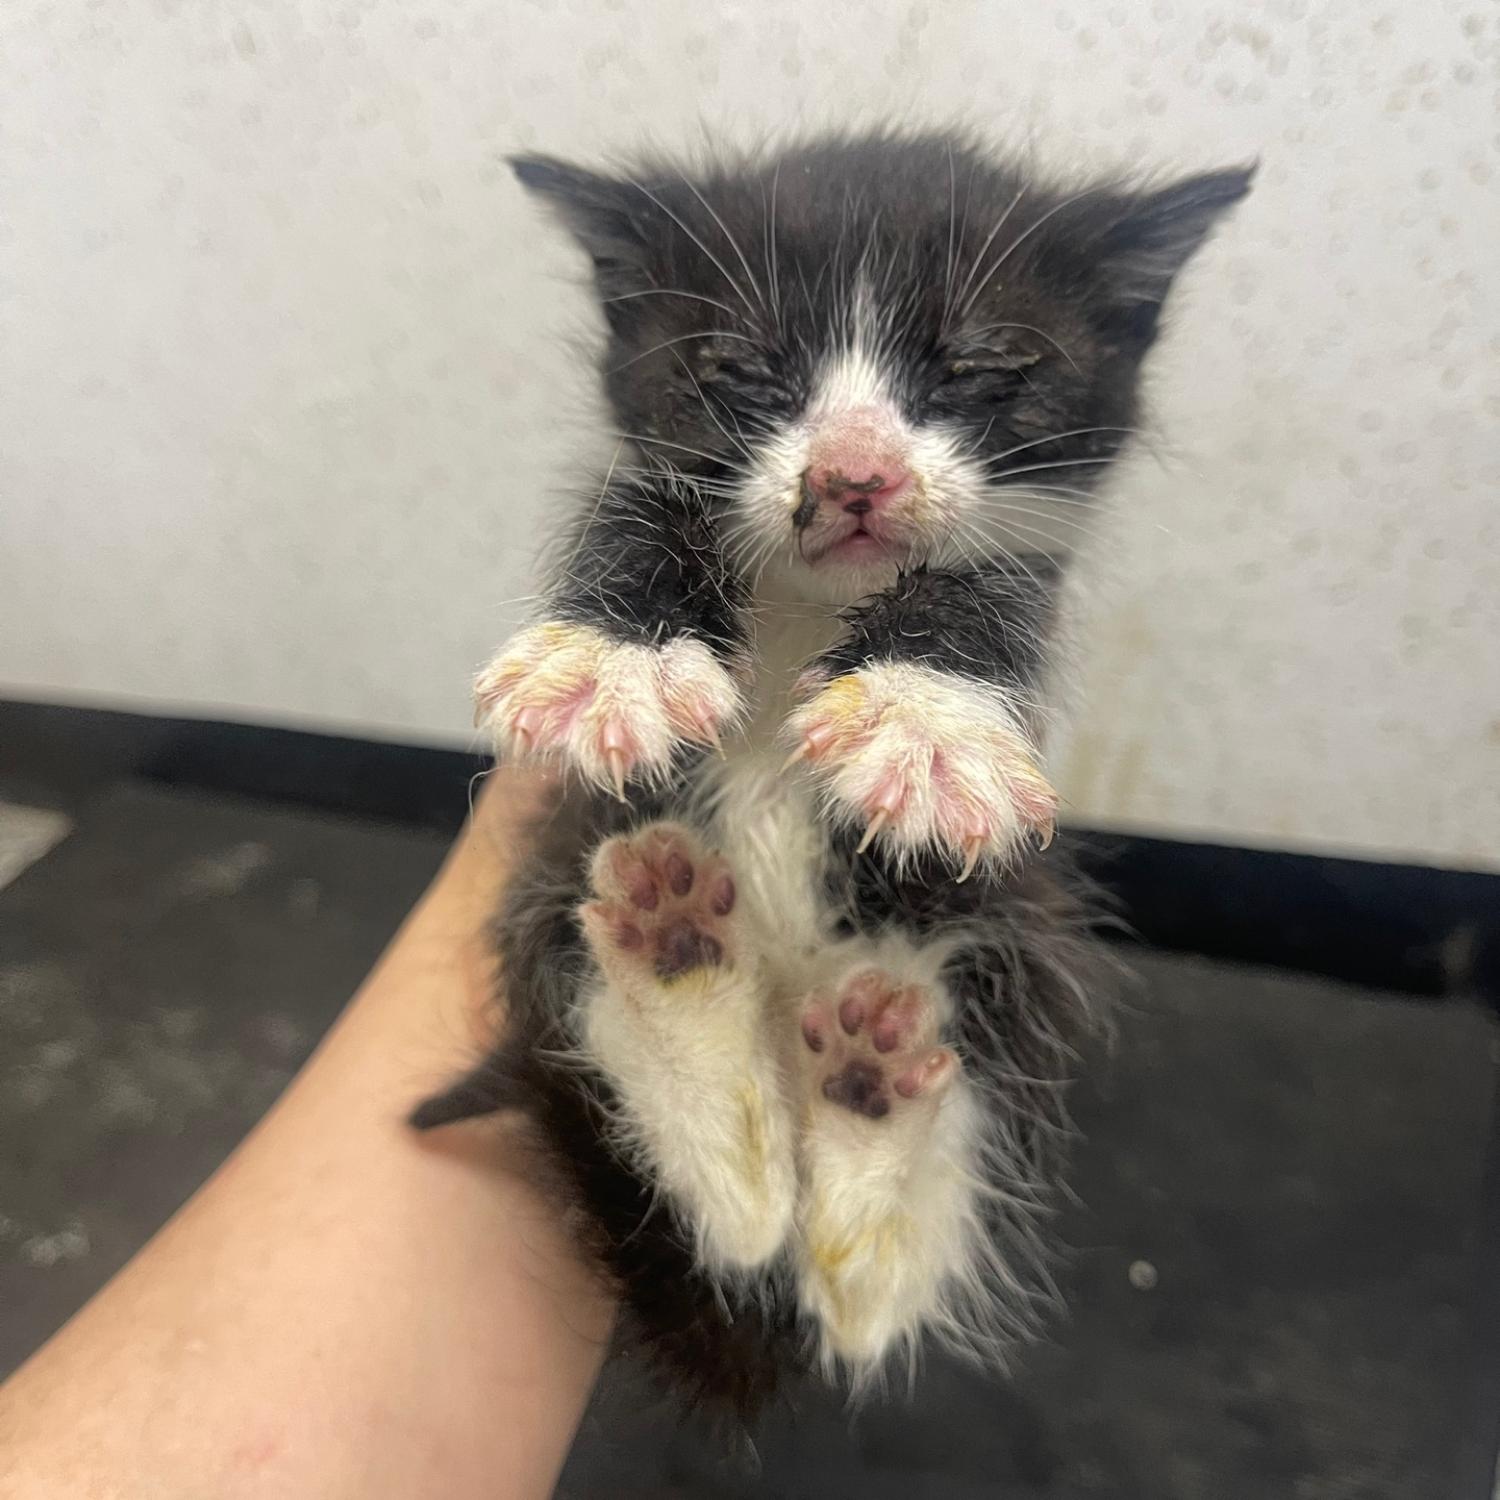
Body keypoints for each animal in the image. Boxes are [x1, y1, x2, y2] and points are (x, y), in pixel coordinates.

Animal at [417, 129, 1248, 1416]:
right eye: (745, 369)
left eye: (978, 366)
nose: (856, 475)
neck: (812, 607)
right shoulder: (653, 475)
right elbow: (636, 505)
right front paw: (612, 660)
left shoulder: (1029, 552)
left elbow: (984, 586)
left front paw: (926, 722)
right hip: (554, 861)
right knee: (738, 1221)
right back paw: (680, 969)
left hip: (1017, 917)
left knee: (861, 1295)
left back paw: (868, 1091)